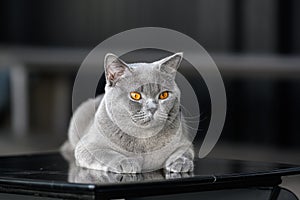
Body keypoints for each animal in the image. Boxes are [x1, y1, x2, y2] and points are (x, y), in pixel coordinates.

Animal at [63, 52, 195, 173]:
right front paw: (126, 163)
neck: (144, 138)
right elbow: (107, 154)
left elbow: (184, 152)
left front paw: (181, 163)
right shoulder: (88, 146)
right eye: (135, 95)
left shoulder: (184, 143)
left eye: (164, 95)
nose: (152, 108)